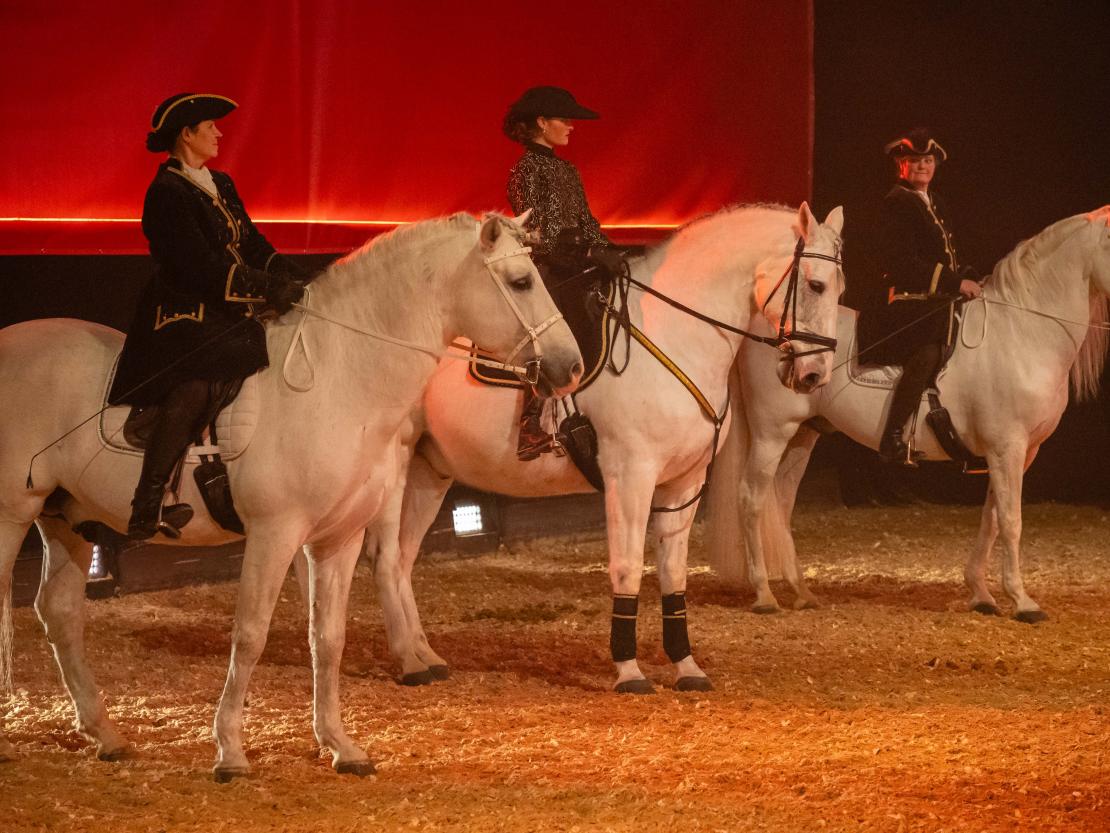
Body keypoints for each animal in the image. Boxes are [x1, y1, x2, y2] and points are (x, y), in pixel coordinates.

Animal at [0, 212, 583, 779]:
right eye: (522, 281)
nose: (571, 367)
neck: (337, 382)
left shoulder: (337, 539)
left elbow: (327, 638)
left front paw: (340, 746)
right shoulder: (274, 534)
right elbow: (251, 634)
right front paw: (230, 751)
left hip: (65, 518)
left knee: (60, 613)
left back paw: (106, 735)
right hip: (12, 514)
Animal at [370, 203, 845, 693]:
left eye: (839, 288)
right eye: (816, 285)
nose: (814, 375)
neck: (675, 334)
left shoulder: (684, 483)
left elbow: (673, 573)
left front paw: (687, 666)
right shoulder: (631, 477)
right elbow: (628, 566)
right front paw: (629, 670)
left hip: (430, 472)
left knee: (402, 560)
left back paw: (425, 656)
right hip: (393, 469)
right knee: (385, 560)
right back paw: (408, 662)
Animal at [706, 207, 1110, 620]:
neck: (1020, 332)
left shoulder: (1021, 452)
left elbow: (992, 518)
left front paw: (981, 593)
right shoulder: (1007, 447)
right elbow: (1012, 520)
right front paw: (1023, 601)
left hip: (804, 435)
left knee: (781, 503)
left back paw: (801, 592)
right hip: (773, 432)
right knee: (752, 499)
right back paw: (764, 594)